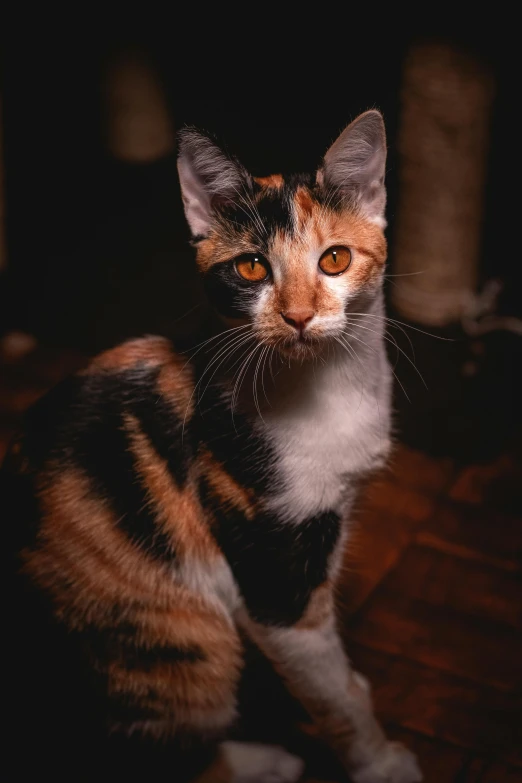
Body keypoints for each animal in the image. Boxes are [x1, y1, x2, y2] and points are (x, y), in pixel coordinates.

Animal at [3, 110, 418, 783]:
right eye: (251, 268)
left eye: (334, 259)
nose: (299, 316)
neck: (323, 388)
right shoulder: (269, 569)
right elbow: (329, 689)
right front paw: (377, 760)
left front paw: (355, 687)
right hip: (183, 638)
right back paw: (265, 760)